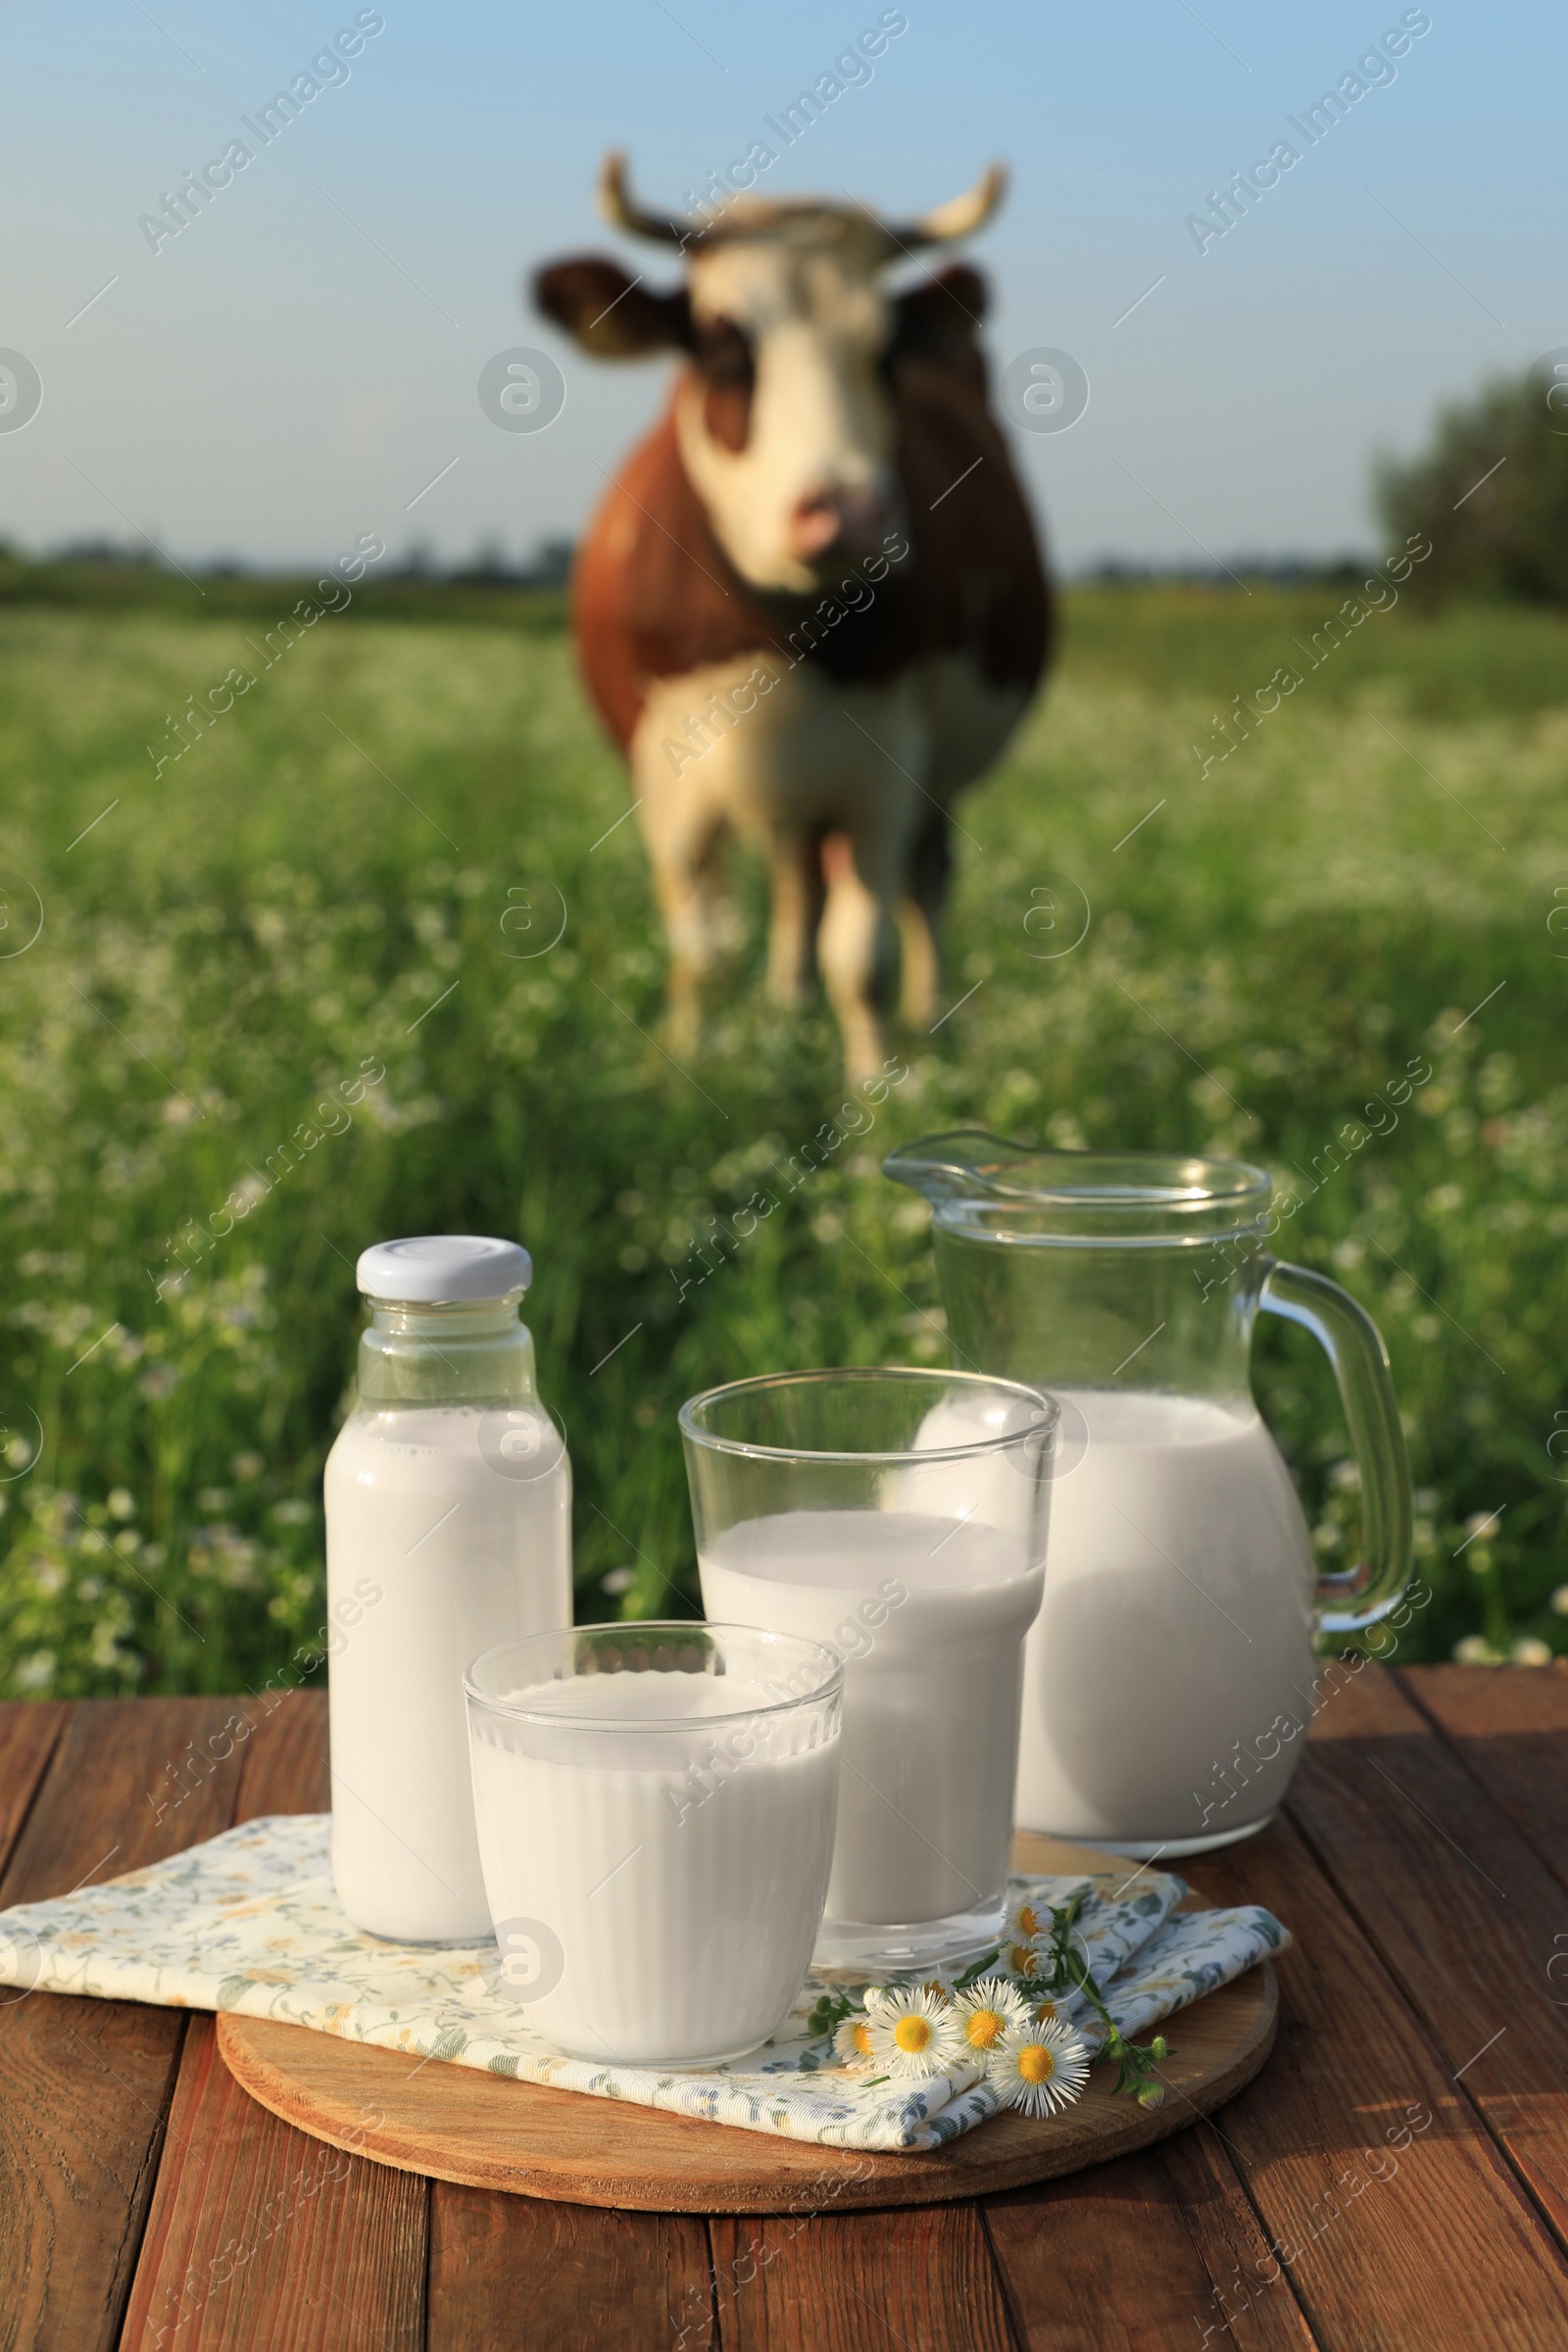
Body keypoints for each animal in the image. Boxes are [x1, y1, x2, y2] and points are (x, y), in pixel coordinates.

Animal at [540, 159, 1053, 1082]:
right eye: (720, 344)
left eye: (884, 351)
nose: (847, 511)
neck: (780, 632)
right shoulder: (664, 775)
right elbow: (703, 949)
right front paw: (685, 1068)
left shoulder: (891, 767)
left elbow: (864, 959)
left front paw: (877, 1095)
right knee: (795, 882)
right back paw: (786, 1004)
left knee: (923, 883)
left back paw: (930, 1023)